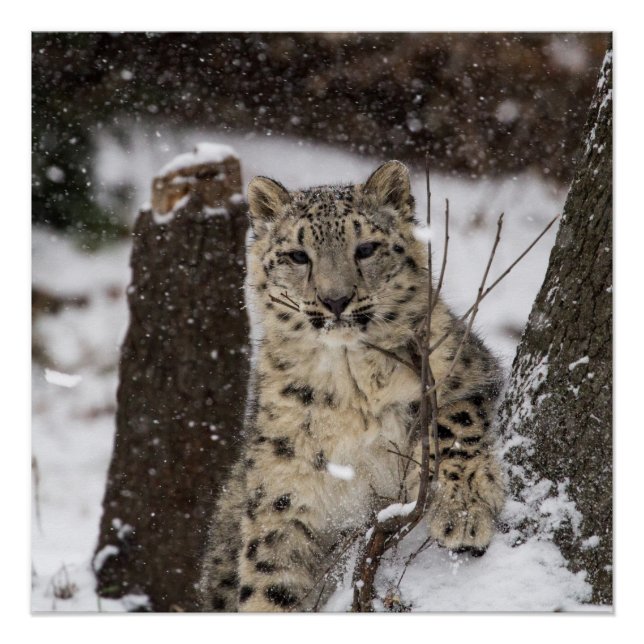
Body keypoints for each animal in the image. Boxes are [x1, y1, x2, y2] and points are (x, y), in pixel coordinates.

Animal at [198, 160, 505, 612]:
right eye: (298, 255)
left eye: (365, 248)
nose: (336, 300)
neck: (350, 385)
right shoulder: (283, 489)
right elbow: (269, 580)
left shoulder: (465, 369)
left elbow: (455, 424)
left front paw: (463, 514)